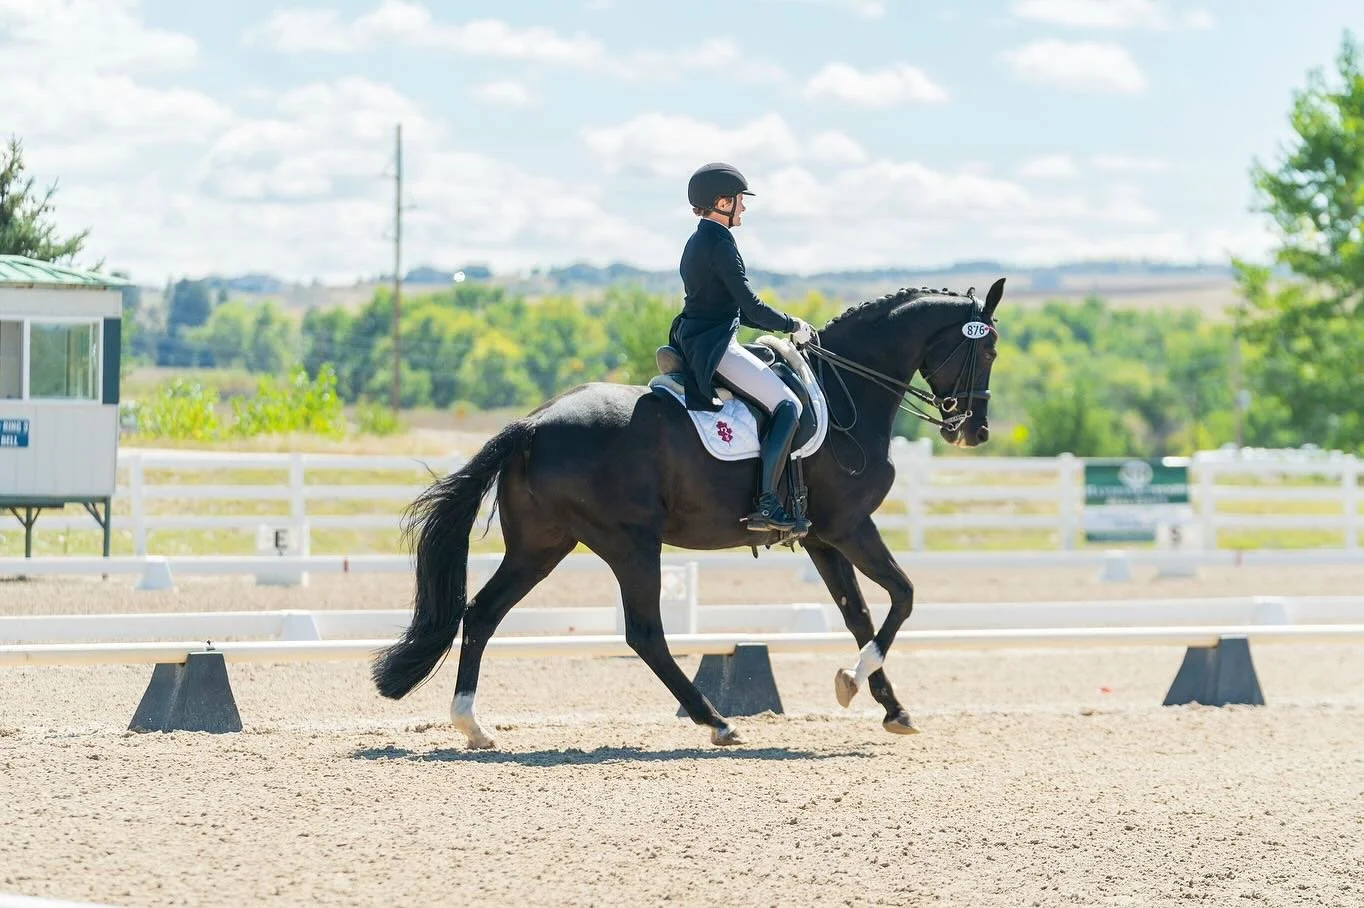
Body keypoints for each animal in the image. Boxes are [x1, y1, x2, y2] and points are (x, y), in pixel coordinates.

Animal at [371, 278, 1006, 747]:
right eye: (989, 349)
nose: (972, 431)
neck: (847, 387)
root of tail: (532, 424)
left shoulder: (822, 539)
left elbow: (860, 615)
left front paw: (887, 705)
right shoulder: (849, 526)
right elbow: (903, 596)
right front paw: (855, 680)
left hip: (541, 546)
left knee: (481, 613)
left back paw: (472, 726)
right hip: (630, 543)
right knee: (645, 633)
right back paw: (717, 721)